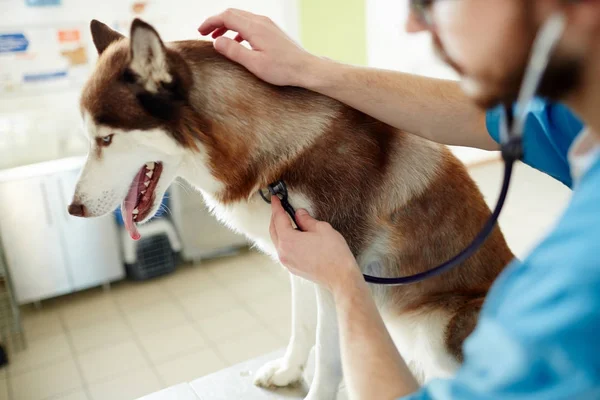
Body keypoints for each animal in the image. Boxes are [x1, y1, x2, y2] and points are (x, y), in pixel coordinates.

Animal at [69, 19, 510, 400]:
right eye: (89, 137)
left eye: (106, 139)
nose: (74, 208)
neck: (275, 161)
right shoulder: (300, 258)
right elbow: (302, 327)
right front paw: (287, 371)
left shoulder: (339, 272)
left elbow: (331, 356)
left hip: (437, 330)